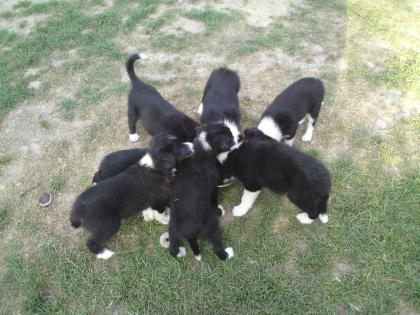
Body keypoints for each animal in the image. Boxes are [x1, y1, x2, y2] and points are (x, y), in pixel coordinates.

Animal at [168, 123, 240, 262]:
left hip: (172, 228)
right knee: (217, 248)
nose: (239, 137)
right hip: (212, 225)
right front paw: (218, 210)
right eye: (229, 138)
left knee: (172, 249)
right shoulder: (213, 186)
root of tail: (189, 232)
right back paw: (228, 253)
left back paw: (179, 252)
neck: (200, 151)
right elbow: (214, 200)